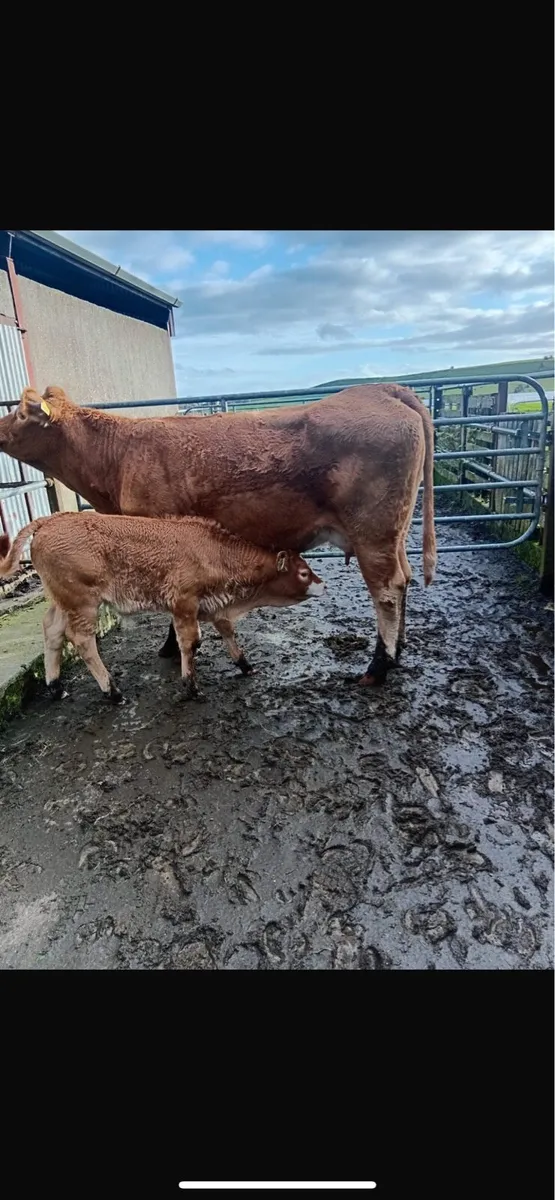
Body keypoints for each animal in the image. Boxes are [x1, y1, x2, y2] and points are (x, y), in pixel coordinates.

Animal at [0, 383, 436, 685]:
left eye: (20, 412)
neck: (119, 455)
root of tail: (380, 389)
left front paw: (170, 649)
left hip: (373, 534)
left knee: (387, 592)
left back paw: (378, 667)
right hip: (394, 534)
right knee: (406, 578)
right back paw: (398, 651)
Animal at [0, 512, 325, 706]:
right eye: (303, 573)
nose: (322, 585)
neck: (214, 552)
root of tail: (50, 519)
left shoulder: (211, 606)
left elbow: (227, 632)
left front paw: (245, 664)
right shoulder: (184, 604)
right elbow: (191, 643)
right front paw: (191, 686)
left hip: (62, 601)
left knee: (52, 631)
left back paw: (55, 686)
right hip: (83, 602)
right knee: (81, 640)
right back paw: (112, 692)